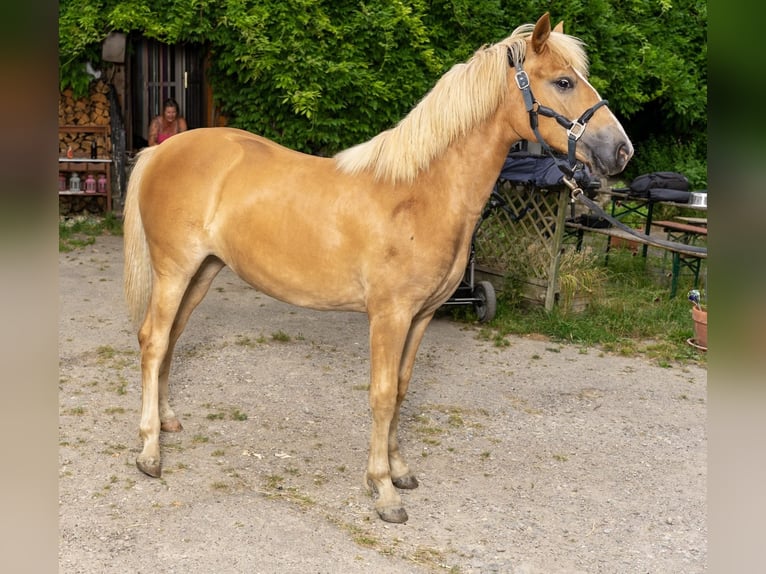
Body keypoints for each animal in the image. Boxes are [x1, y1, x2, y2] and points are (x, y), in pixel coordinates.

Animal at [124, 12, 632, 528]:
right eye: (564, 82)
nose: (621, 151)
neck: (421, 193)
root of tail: (160, 152)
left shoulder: (421, 316)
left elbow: (403, 390)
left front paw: (400, 469)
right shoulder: (389, 316)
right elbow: (383, 395)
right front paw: (384, 490)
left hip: (203, 272)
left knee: (171, 341)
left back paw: (166, 421)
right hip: (175, 271)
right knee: (154, 341)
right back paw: (149, 451)